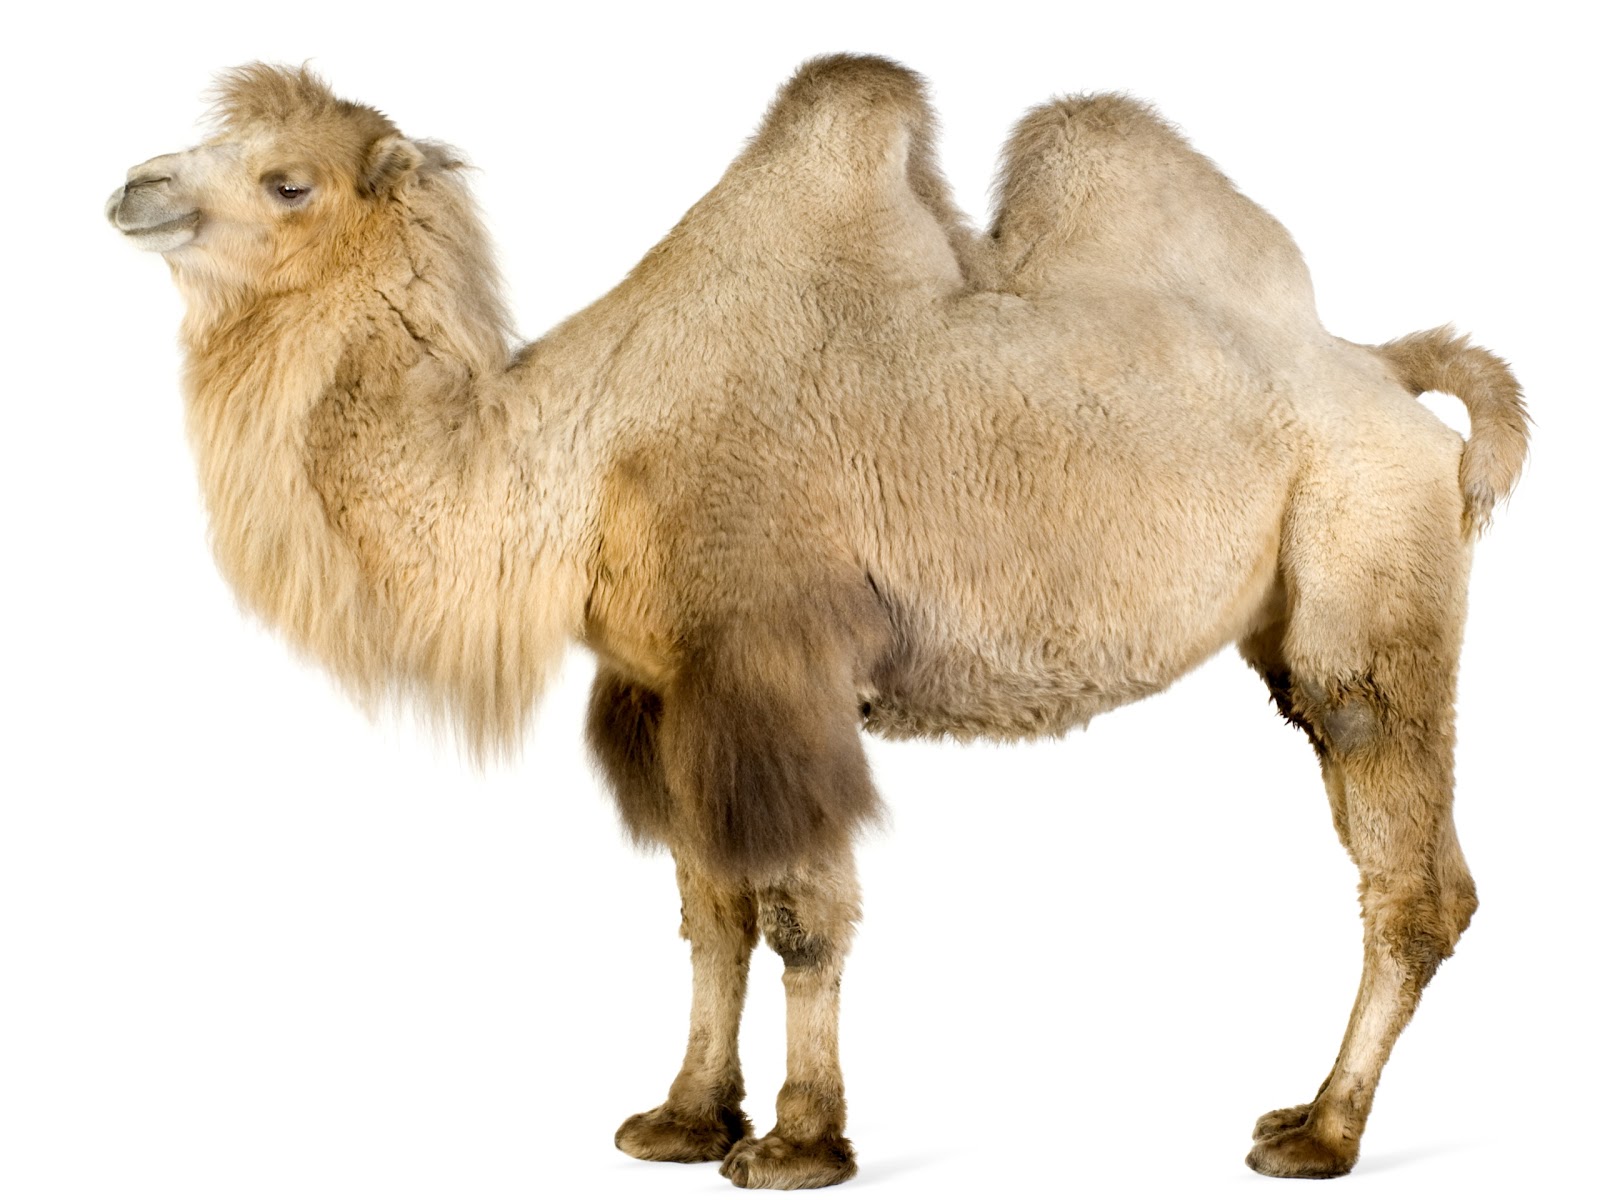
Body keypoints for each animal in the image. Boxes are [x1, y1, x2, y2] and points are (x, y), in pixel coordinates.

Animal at [106, 56, 1527, 1188]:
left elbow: (799, 913)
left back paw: (1318, 1133)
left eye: (289, 182)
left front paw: (797, 1142)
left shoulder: (771, 669)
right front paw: (683, 1119)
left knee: (1405, 860)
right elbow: (711, 912)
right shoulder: (666, 691)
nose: (133, 187)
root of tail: (1389, 375)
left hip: (1365, 567)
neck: (578, 455)